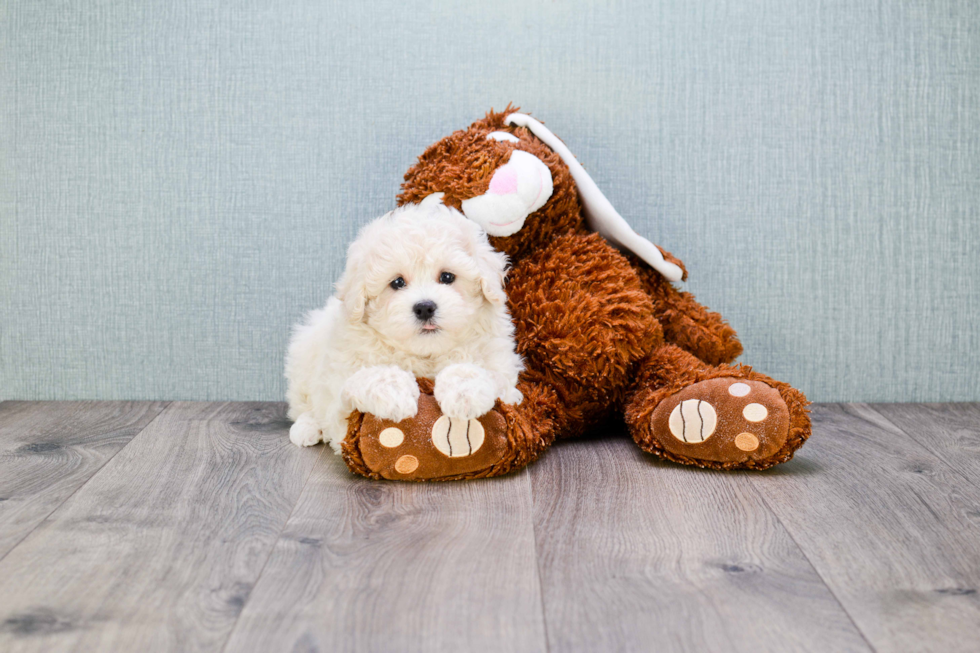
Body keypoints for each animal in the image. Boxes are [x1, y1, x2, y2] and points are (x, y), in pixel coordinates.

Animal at [286, 194, 524, 448]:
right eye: (397, 283)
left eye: (447, 276)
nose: (425, 307)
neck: (425, 355)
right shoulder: (340, 412)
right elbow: (368, 377)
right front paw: (395, 395)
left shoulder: (503, 371)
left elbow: (482, 372)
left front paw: (464, 393)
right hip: (302, 357)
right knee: (303, 405)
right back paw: (306, 428)